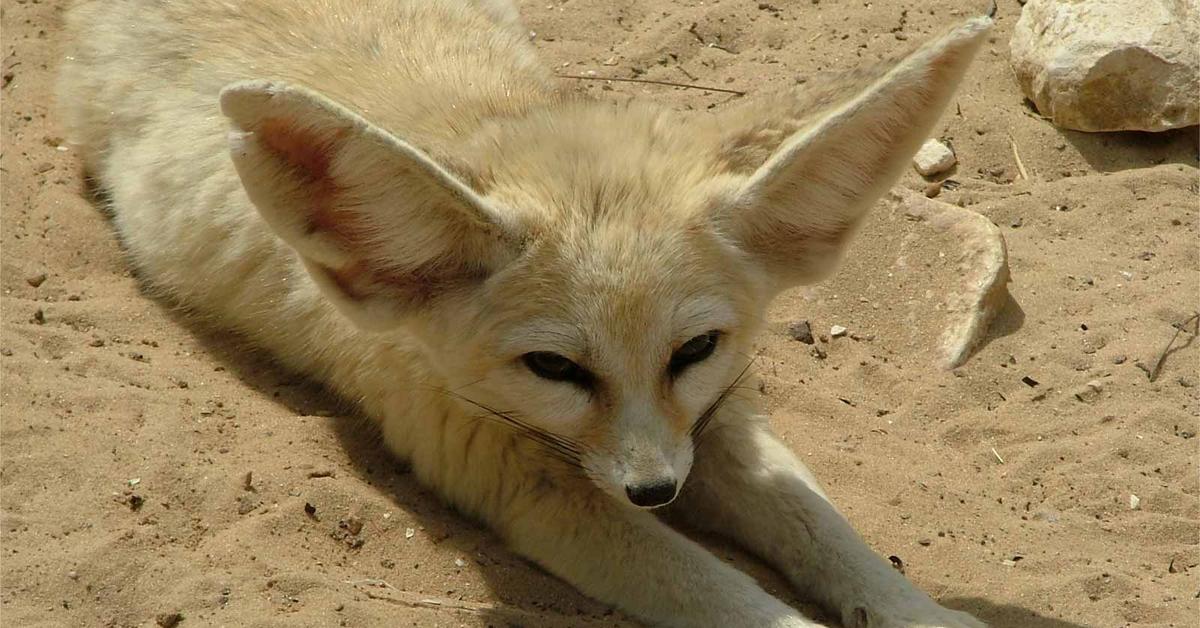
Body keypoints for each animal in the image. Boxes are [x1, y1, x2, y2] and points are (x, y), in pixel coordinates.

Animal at [56, 2, 993, 624]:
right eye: (553, 368)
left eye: (695, 349)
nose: (655, 491)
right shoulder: (518, 478)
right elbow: (725, 593)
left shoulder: (714, 418)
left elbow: (822, 527)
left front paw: (918, 610)